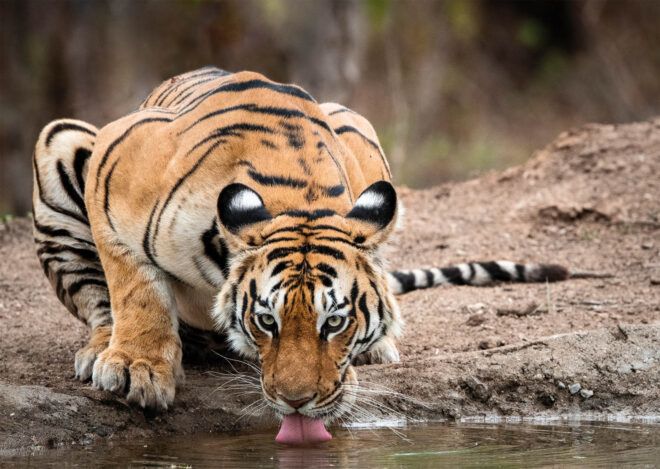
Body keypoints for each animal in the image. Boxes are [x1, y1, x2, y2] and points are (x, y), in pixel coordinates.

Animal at [32, 67, 568, 443]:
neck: (297, 197)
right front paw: (136, 367)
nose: (296, 403)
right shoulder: (116, 160)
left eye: (335, 323)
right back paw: (100, 349)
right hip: (61, 138)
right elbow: (134, 285)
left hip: (356, 122)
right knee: (98, 297)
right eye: (266, 321)